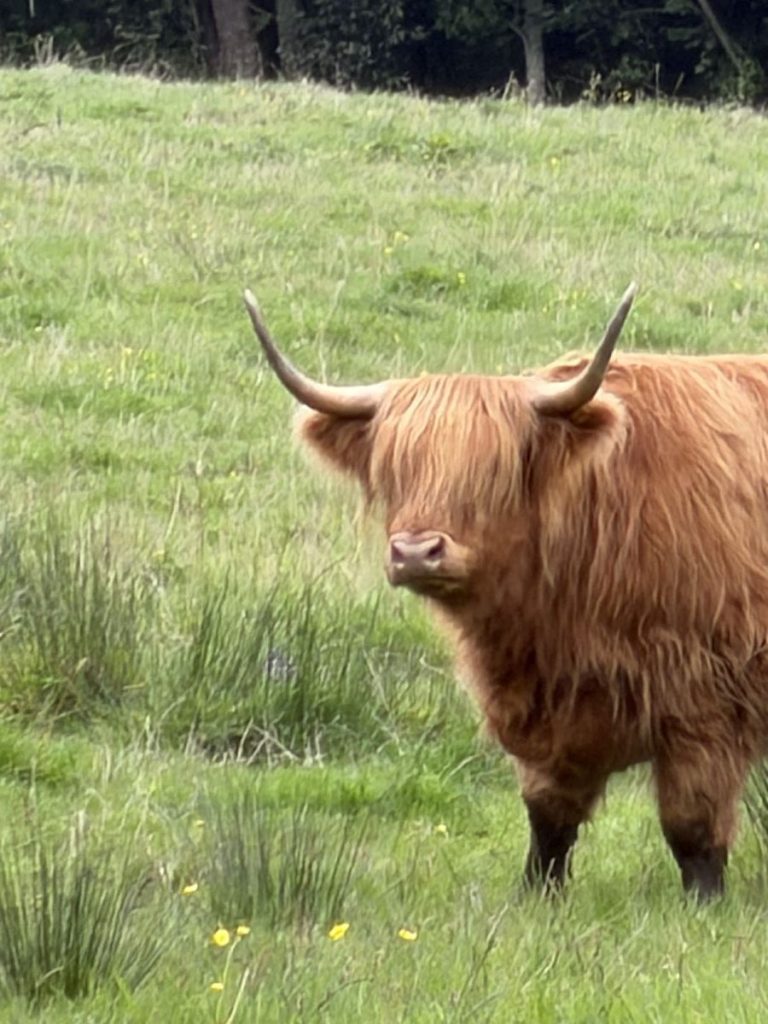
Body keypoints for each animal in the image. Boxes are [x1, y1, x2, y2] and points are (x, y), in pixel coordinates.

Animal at [243, 283, 768, 900]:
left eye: (491, 473)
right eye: (396, 468)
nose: (416, 552)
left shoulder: (706, 705)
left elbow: (693, 829)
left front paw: (704, 905)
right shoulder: (546, 714)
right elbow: (549, 822)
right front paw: (539, 896)